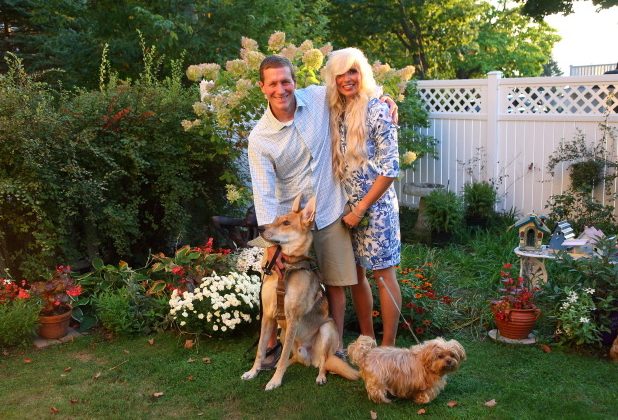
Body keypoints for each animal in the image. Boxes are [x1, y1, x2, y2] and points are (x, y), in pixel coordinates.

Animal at [239, 196, 356, 390]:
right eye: (276, 219)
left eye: (286, 223)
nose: (261, 228)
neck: (286, 268)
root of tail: (310, 358)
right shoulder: (268, 316)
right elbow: (261, 350)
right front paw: (253, 371)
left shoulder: (293, 318)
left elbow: (283, 353)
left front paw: (275, 381)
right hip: (284, 334)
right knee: (293, 357)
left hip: (326, 330)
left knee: (324, 361)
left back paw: (320, 376)